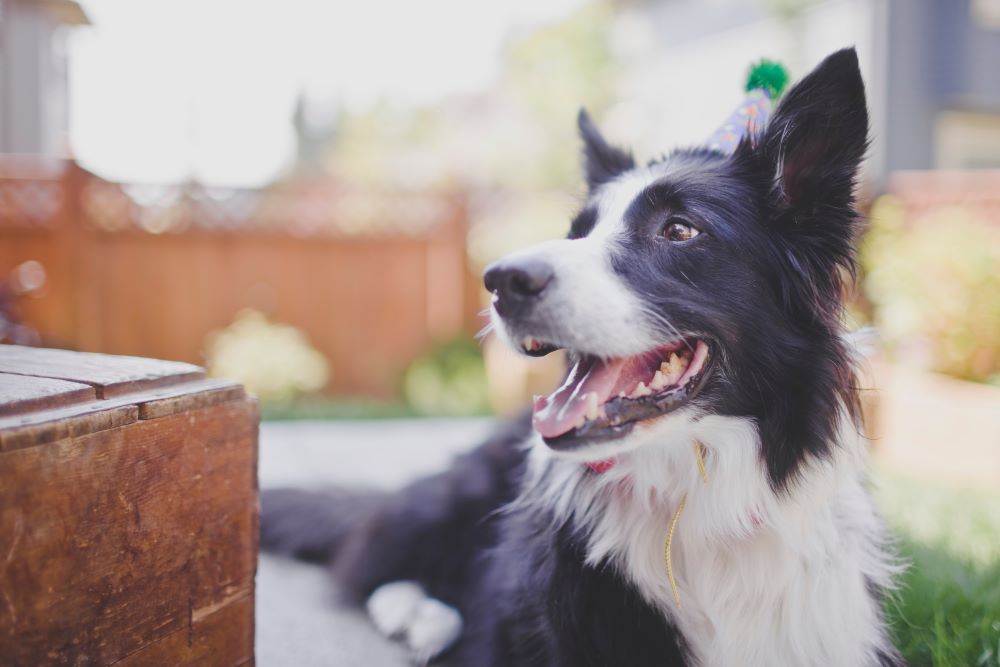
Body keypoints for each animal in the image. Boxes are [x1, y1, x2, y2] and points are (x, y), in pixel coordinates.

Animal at [262, 49, 904, 667]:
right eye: (575, 233)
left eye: (679, 230)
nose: (501, 282)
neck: (695, 504)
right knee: (373, 551)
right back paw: (421, 615)